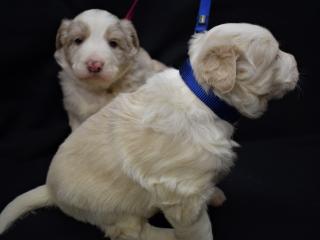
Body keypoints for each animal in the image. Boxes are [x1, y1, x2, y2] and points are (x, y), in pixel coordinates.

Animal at [0, 23, 300, 240]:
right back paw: (167, 235)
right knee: (133, 232)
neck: (203, 96)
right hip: (113, 210)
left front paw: (213, 192)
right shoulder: (182, 196)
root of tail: (51, 190)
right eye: (275, 56)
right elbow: (198, 230)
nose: (297, 61)